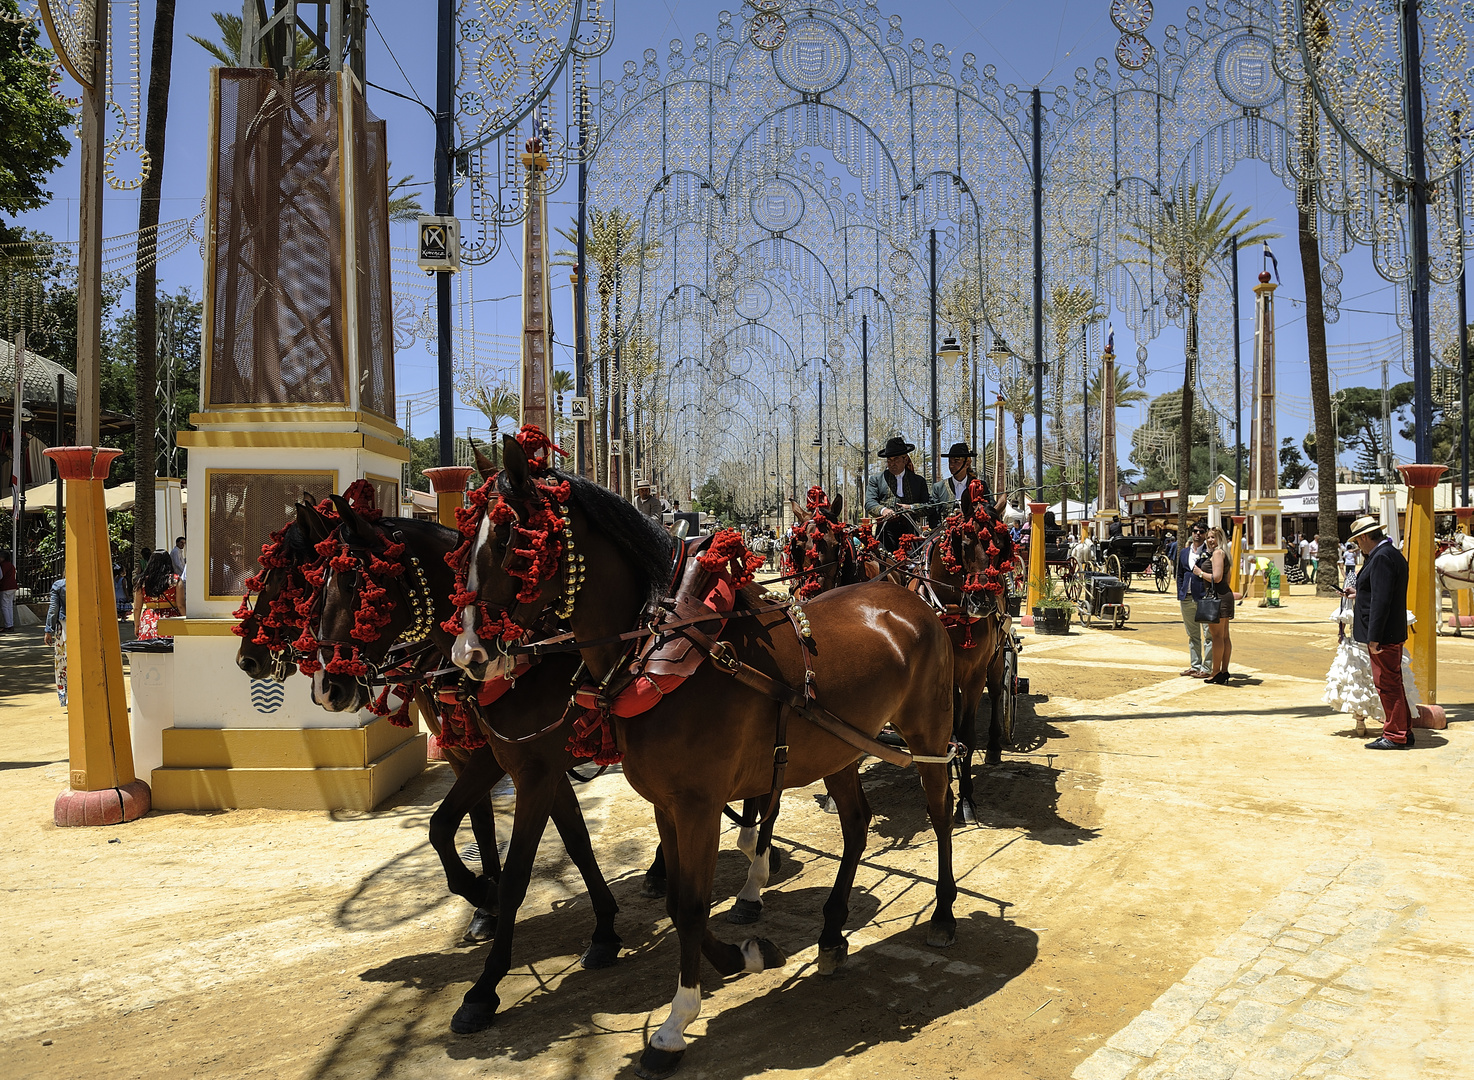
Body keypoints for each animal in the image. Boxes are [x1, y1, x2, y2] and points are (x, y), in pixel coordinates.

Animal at [308, 498, 630, 1013]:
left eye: (358, 582)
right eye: (316, 588)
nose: (328, 687)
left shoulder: (526, 768)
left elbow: (514, 861)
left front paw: (487, 972)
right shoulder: (517, 764)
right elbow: (561, 840)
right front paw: (600, 929)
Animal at [448, 427, 955, 1072]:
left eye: (515, 539)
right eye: (464, 539)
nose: (468, 654)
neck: (664, 651)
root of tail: (910, 601)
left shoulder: (697, 804)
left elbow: (691, 904)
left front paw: (674, 1025)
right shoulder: (665, 804)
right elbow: (675, 901)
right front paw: (745, 955)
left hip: (927, 733)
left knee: (939, 811)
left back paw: (943, 912)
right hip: (838, 750)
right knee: (858, 824)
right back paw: (832, 934)